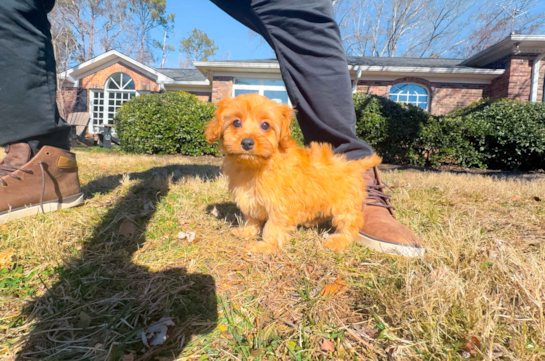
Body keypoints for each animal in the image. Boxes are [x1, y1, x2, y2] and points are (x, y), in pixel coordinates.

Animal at [204, 94, 378, 255]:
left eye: (265, 125)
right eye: (236, 122)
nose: (247, 142)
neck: (256, 166)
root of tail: (354, 164)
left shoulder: (280, 204)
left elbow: (273, 226)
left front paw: (266, 246)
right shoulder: (251, 198)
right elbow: (252, 218)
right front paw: (246, 232)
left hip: (345, 205)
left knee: (350, 224)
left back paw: (338, 240)